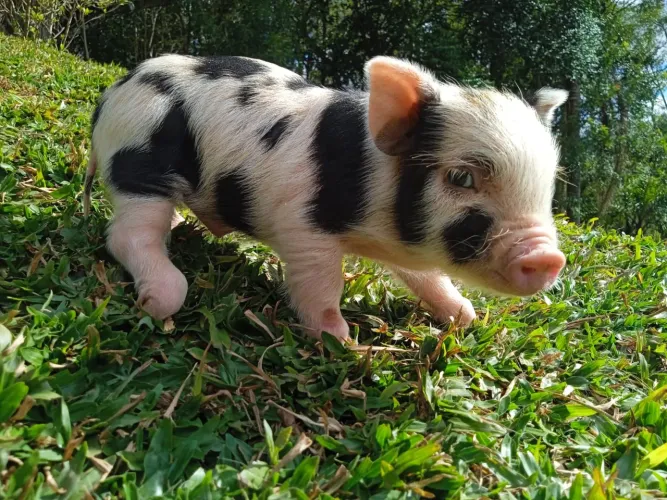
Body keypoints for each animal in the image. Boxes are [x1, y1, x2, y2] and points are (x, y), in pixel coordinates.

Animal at [84, 54, 568, 342]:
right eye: (462, 177)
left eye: (548, 185)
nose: (548, 257)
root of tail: (114, 90)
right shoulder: (302, 226)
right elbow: (321, 284)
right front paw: (344, 341)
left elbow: (428, 277)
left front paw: (466, 317)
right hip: (139, 157)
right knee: (128, 234)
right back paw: (160, 299)